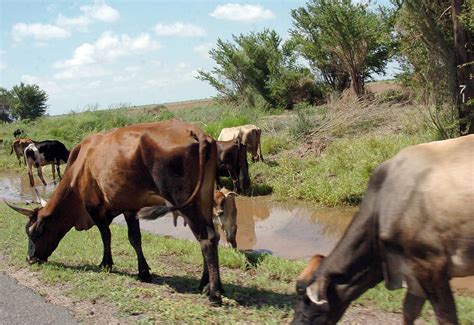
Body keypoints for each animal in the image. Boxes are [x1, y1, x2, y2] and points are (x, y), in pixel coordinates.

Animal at [5, 120, 224, 306]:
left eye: (35, 233)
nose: (30, 259)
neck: (79, 169)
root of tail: (193, 131)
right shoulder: (129, 208)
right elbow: (135, 239)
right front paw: (144, 272)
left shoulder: (95, 208)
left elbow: (106, 236)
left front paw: (106, 264)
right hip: (204, 198)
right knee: (211, 236)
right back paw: (207, 284)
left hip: (184, 201)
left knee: (206, 238)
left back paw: (214, 294)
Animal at [292, 134, 474, 322]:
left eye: (304, 297)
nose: (294, 323)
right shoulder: (413, 273)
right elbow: (409, 310)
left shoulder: (430, 265)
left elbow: (445, 316)